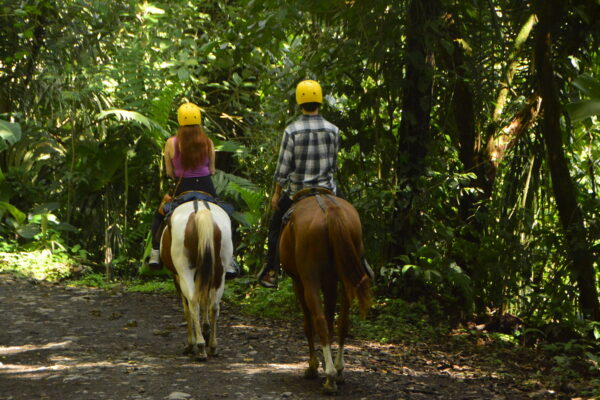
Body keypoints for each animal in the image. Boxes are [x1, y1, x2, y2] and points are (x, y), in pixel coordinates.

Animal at [161, 199, 233, 360]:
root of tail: (200, 211)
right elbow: (205, 300)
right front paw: (206, 329)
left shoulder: (176, 277)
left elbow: (187, 309)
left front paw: (191, 344)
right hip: (220, 271)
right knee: (214, 305)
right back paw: (212, 346)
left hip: (184, 270)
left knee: (193, 303)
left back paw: (199, 346)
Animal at [280, 190, 372, 394]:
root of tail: (329, 208)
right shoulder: (330, 282)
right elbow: (332, 322)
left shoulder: (299, 282)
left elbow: (309, 324)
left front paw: (313, 367)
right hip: (346, 277)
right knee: (343, 323)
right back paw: (338, 370)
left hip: (310, 280)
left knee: (319, 322)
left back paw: (329, 378)